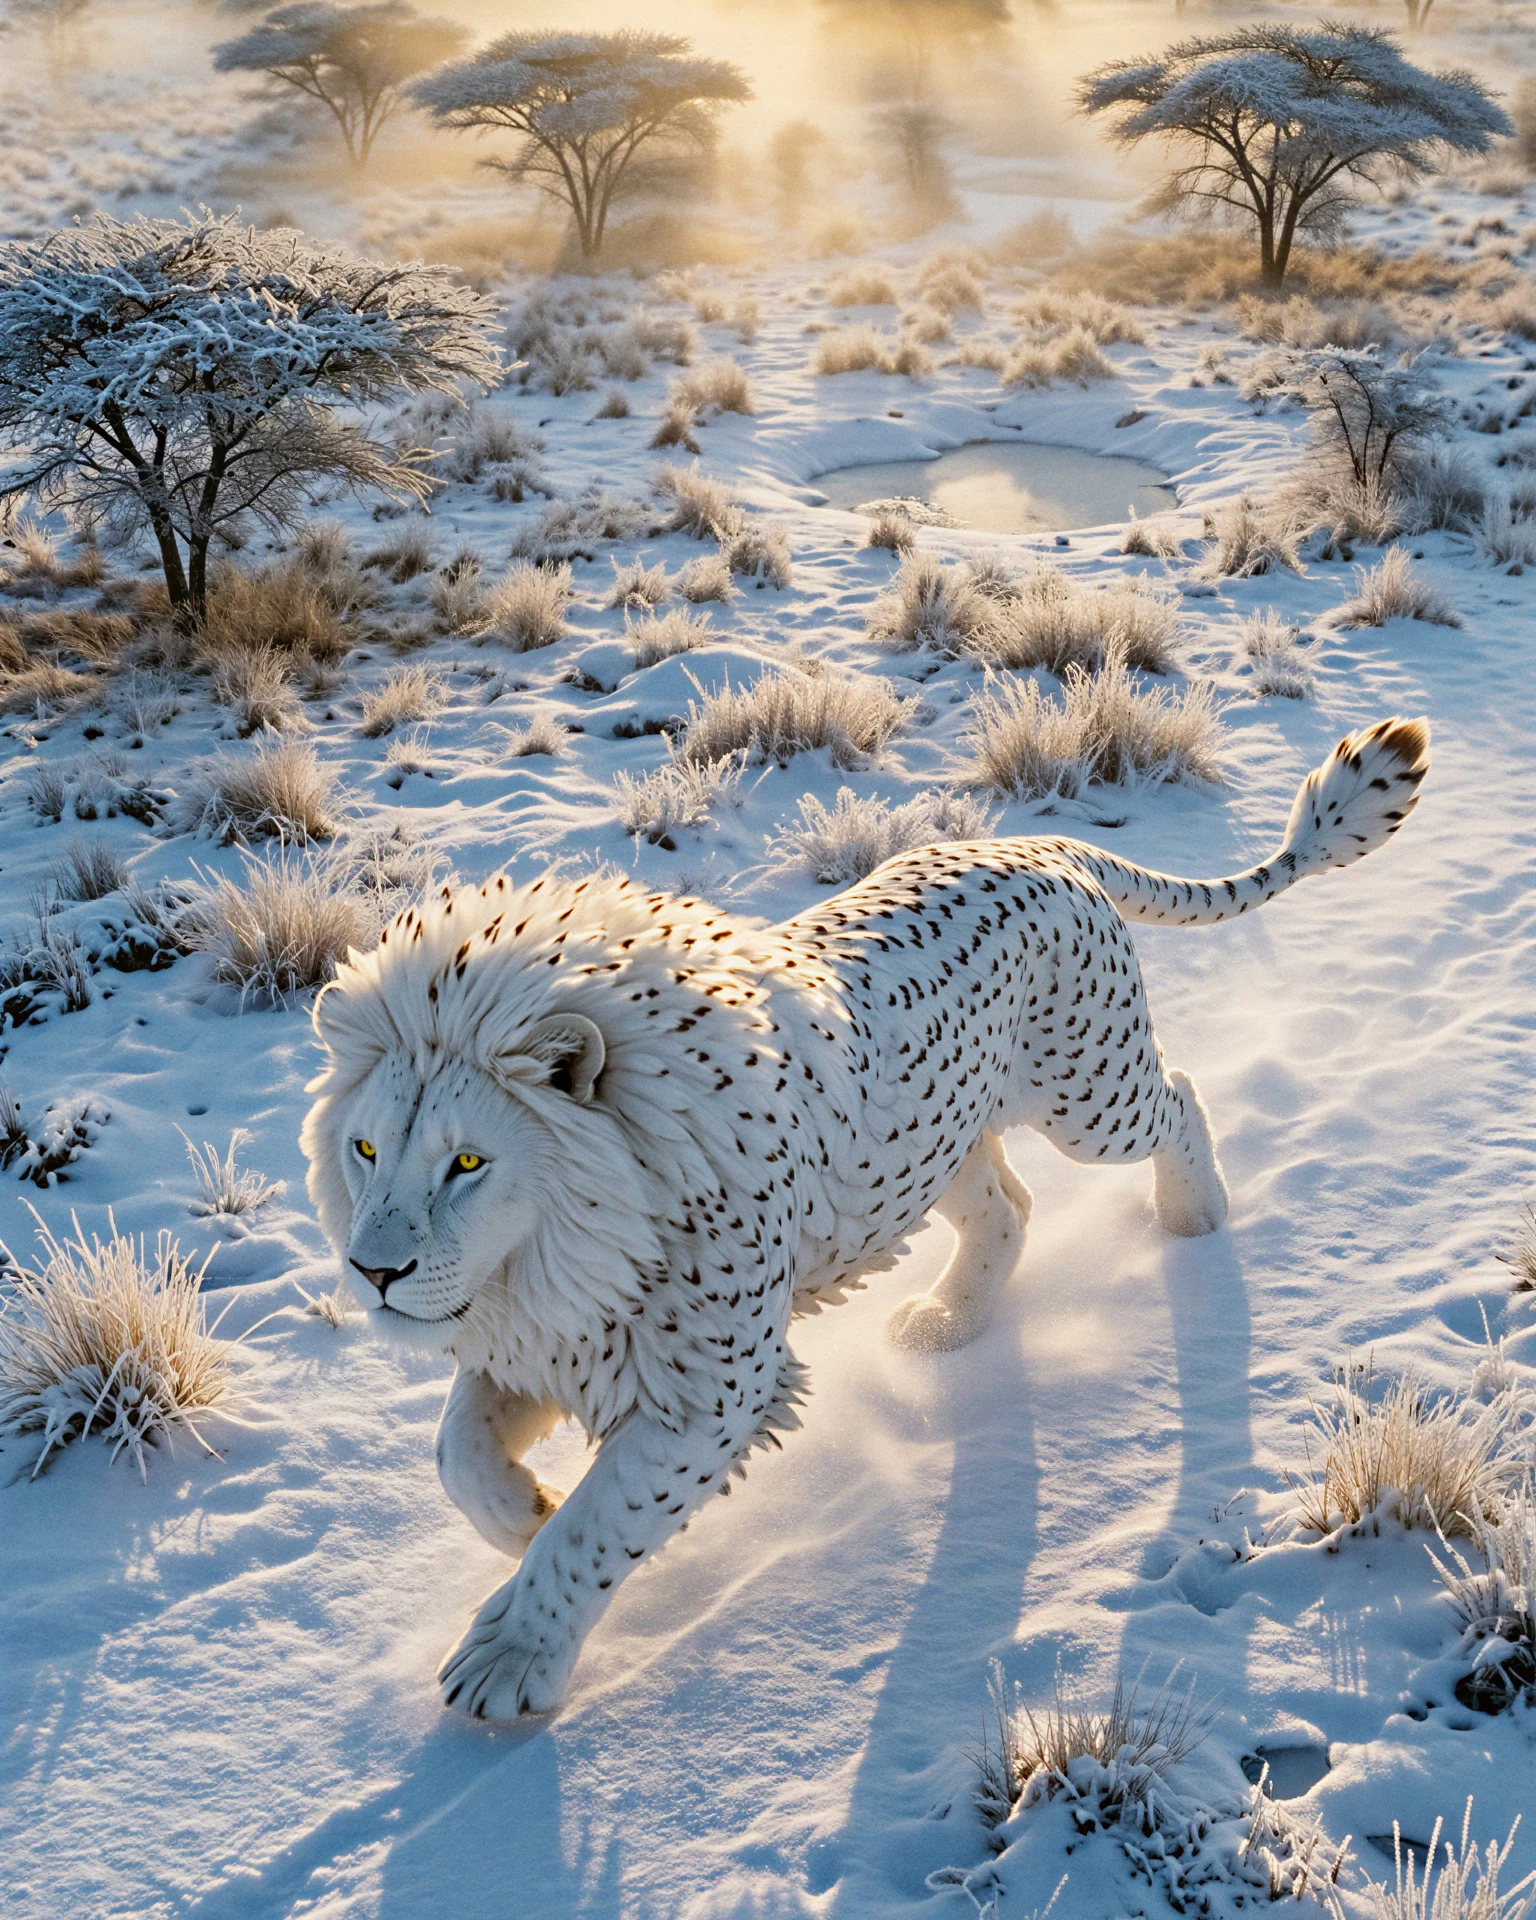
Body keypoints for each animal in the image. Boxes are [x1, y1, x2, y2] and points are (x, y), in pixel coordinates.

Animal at [301, 716, 1428, 1720]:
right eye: (366, 1152)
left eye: (468, 1162)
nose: (374, 1276)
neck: (572, 1243)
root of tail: (1040, 844)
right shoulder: (546, 1335)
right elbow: (458, 1454)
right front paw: (521, 1517)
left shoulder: (711, 1390)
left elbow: (599, 1526)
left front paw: (510, 1657)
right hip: (937, 1141)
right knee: (1009, 1210)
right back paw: (945, 1325)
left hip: (1087, 1098)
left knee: (1179, 1098)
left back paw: (1195, 1223)